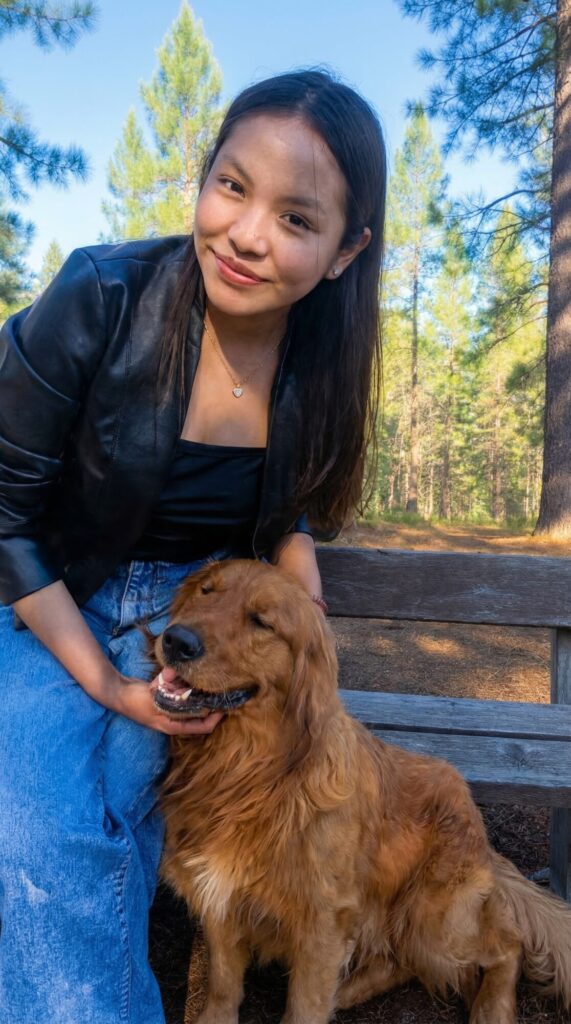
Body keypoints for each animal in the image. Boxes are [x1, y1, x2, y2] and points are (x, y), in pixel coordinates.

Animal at [154, 558, 571, 1024]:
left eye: (261, 621)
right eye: (205, 591)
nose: (176, 640)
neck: (248, 771)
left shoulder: (322, 922)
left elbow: (303, 1008)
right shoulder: (221, 897)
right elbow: (224, 985)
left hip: (433, 917)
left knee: (505, 942)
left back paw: (490, 1009)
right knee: (397, 959)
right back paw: (348, 991)